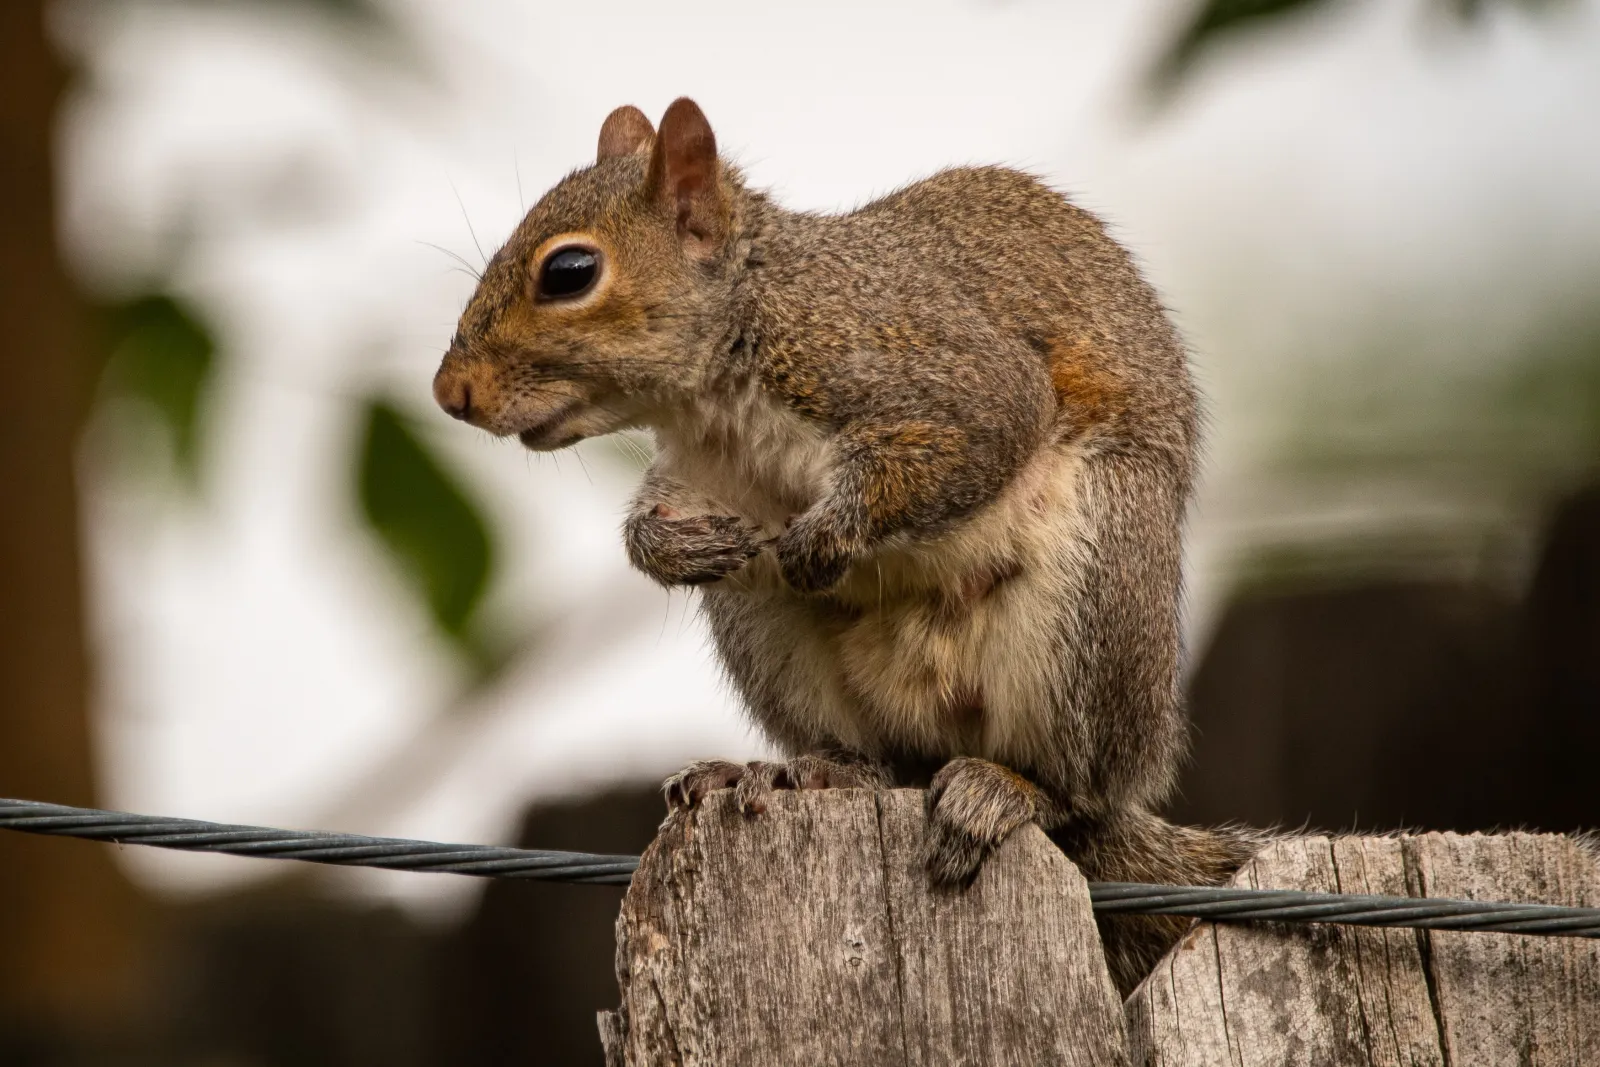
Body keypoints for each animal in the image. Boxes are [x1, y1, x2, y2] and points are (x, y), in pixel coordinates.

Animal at [432, 99, 1254, 1004]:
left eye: (570, 272)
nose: (449, 392)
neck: (718, 388)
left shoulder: (920, 362)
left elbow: (982, 425)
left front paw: (823, 539)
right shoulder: (698, 472)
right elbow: (657, 519)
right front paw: (672, 546)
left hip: (1097, 596)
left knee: (1080, 792)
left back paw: (1008, 790)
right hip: (766, 630)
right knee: (881, 763)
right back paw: (802, 772)